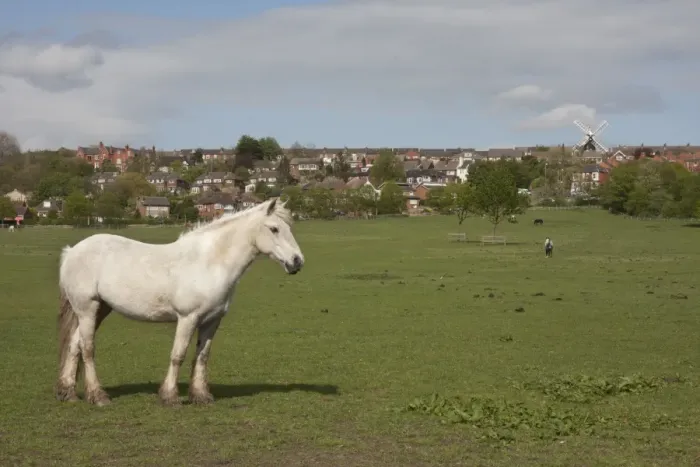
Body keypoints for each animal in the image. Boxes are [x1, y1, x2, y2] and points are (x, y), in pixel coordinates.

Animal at [55, 198, 304, 407]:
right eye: (274, 229)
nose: (297, 261)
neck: (209, 263)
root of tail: (72, 251)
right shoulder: (187, 318)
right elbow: (178, 355)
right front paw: (170, 397)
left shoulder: (212, 320)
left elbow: (202, 356)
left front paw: (201, 396)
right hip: (87, 309)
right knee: (87, 349)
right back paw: (98, 396)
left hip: (99, 310)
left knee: (75, 345)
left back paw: (68, 392)